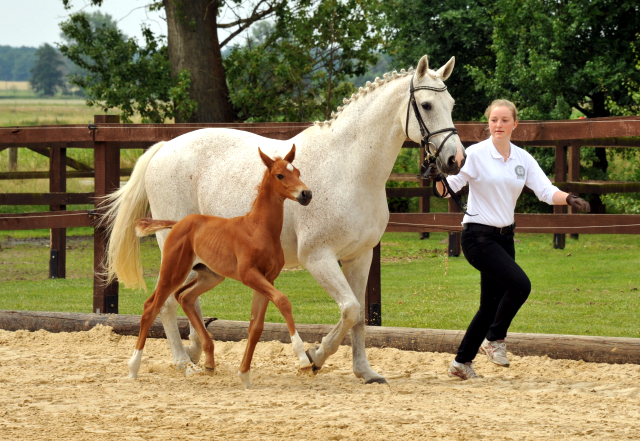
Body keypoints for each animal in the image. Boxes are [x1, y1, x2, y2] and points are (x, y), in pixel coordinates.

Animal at [128, 144, 312, 384]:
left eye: (298, 172)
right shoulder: (249, 275)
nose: (306, 194)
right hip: (173, 270)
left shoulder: (267, 279)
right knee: (152, 306)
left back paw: (209, 362)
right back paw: (133, 368)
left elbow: (256, 326)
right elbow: (283, 301)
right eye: (280, 175)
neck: (259, 229)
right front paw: (303, 359)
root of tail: (178, 223)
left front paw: (244, 375)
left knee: (184, 297)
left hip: (211, 275)